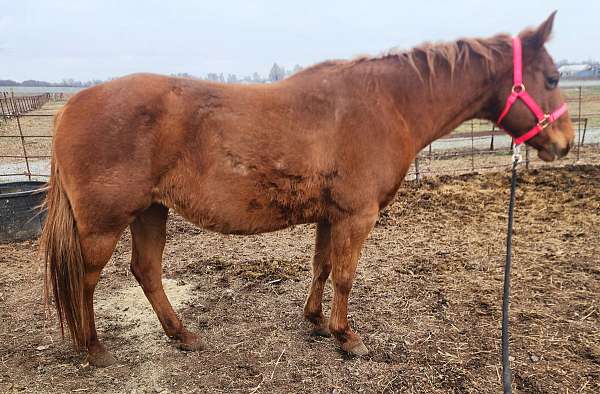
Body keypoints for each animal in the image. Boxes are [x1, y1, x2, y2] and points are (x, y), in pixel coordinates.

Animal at [41, 13, 572, 366]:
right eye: (551, 77)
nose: (564, 143)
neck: (386, 104)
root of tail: (70, 108)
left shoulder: (330, 214)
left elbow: (321, 267)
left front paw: (315, 322)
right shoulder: (357, 216)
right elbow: (345, 276)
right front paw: (346, 337)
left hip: (151, 211)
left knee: (146, 272)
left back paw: (182, 335)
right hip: (105, 224)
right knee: (86, 279)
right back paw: (94, 348)